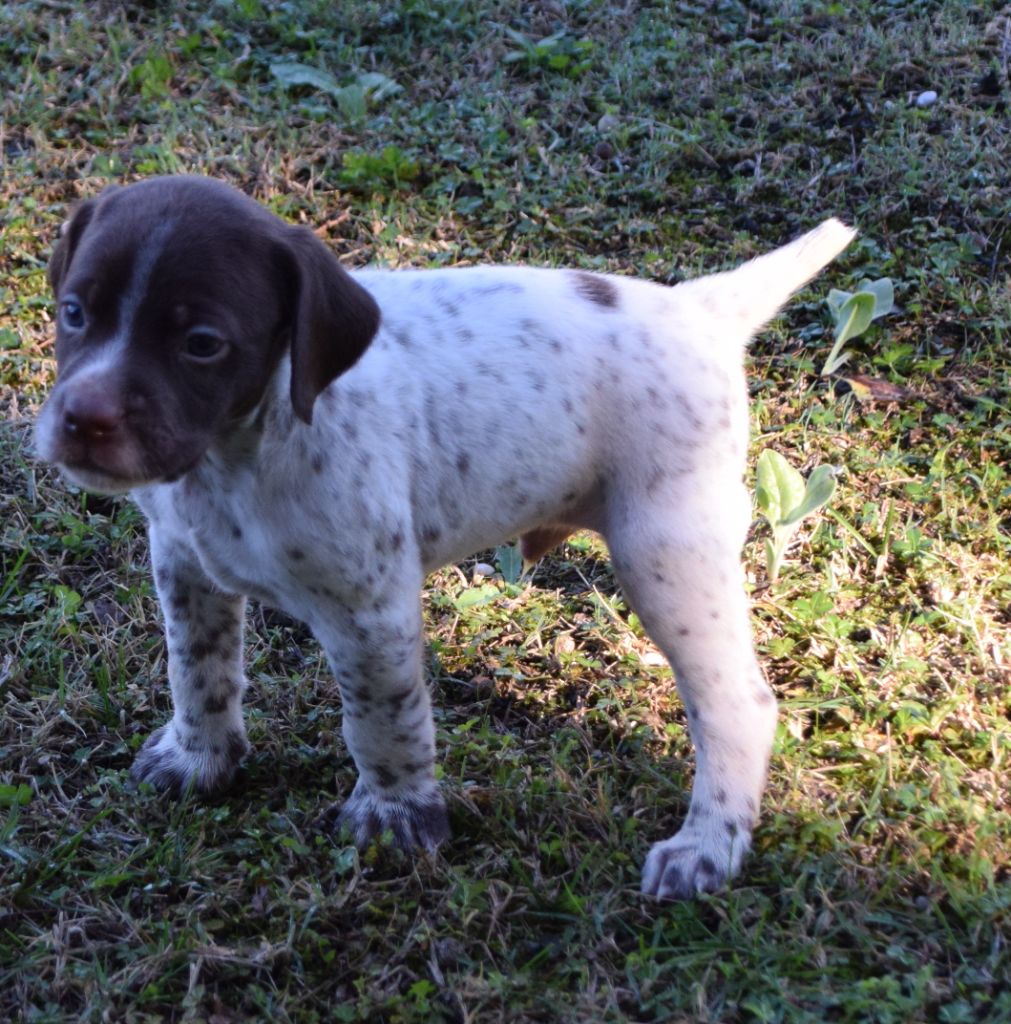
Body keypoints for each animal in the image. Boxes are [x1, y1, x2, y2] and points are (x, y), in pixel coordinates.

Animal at [33, 176, 852, 897]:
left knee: (737, 704)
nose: (84, 419)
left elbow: (381, 717)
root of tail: (700, 308)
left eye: (202, 343)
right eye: (74, 312)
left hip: (667, 554)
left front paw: (396, 816)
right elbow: (196, 672)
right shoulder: (185, 566)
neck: (239, 452)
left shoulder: (370, 610)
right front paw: (201, 760)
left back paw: (706, 845)